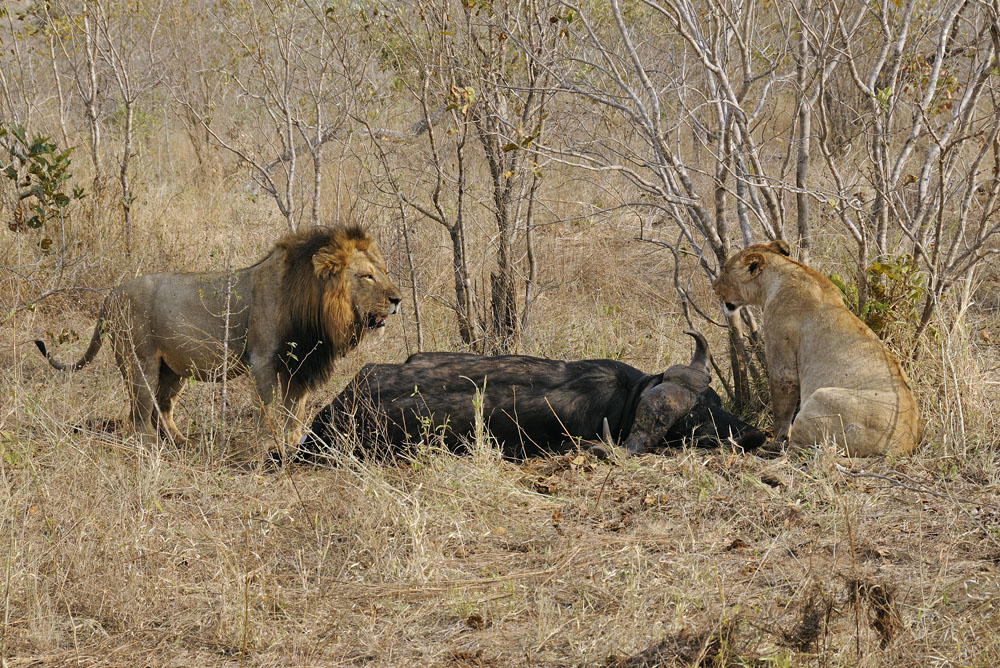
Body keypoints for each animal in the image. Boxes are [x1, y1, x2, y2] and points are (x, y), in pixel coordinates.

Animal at [35, 224, 402, 452]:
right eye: (367, 277)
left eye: (384, 272)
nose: (398, 299)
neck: (314, 307)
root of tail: (110, 294)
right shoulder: (264, 362)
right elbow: (269, 407)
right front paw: (266, 446)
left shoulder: (300, 366)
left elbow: (295, 410)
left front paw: (292, 445)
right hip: (140, 362)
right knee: (139, 416)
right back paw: (153, 449)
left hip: (173, 370)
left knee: (161, 409)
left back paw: (182, 442)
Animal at [712, 240, 921, 457]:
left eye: (725, 270)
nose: (713, 287)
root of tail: (904, 447)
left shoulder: (783, 362)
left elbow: (781, 408)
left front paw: (776, 441)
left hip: (820, 397)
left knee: (799, 452)